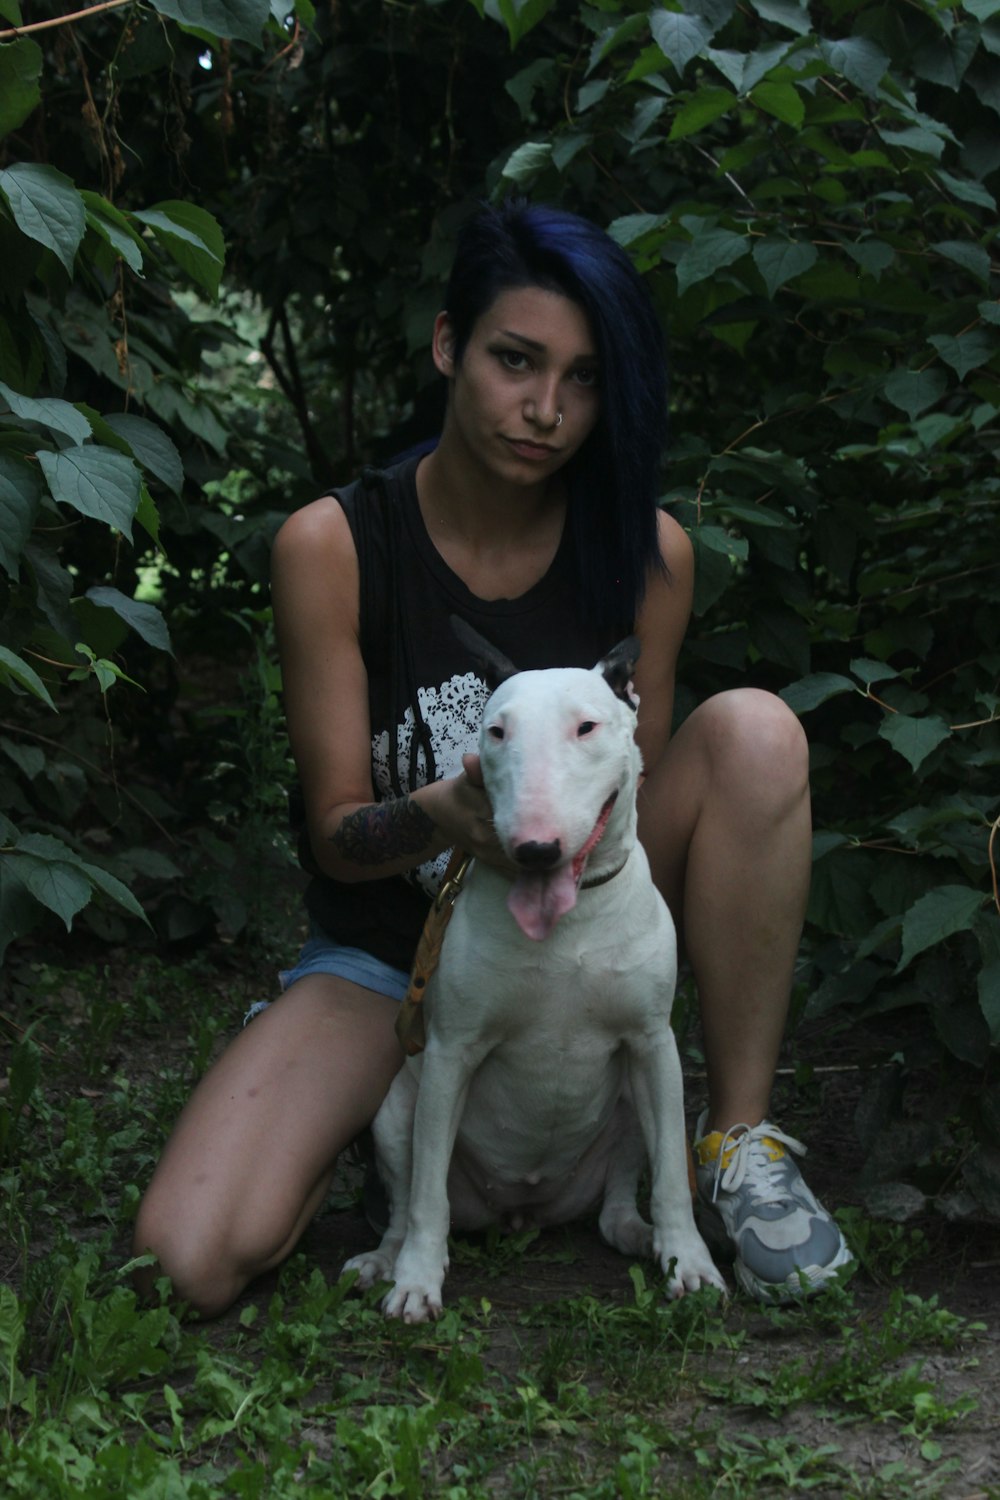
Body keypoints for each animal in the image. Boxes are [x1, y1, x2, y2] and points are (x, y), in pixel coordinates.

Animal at [340, 627, 722, 1320]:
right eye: (496, 732)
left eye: (587, 726)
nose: (535, 849)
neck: (570, 926)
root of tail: (523, 1208)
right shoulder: (451, 1052)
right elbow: (427, 1193)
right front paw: (417, 1283)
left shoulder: (654, 1045)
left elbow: (672, 1180)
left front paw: (691, 1261)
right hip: (395, 1114)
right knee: (406, 1205)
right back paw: (385, 1261)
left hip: (630, 1105)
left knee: (617, 1204)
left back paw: (644, 1237)